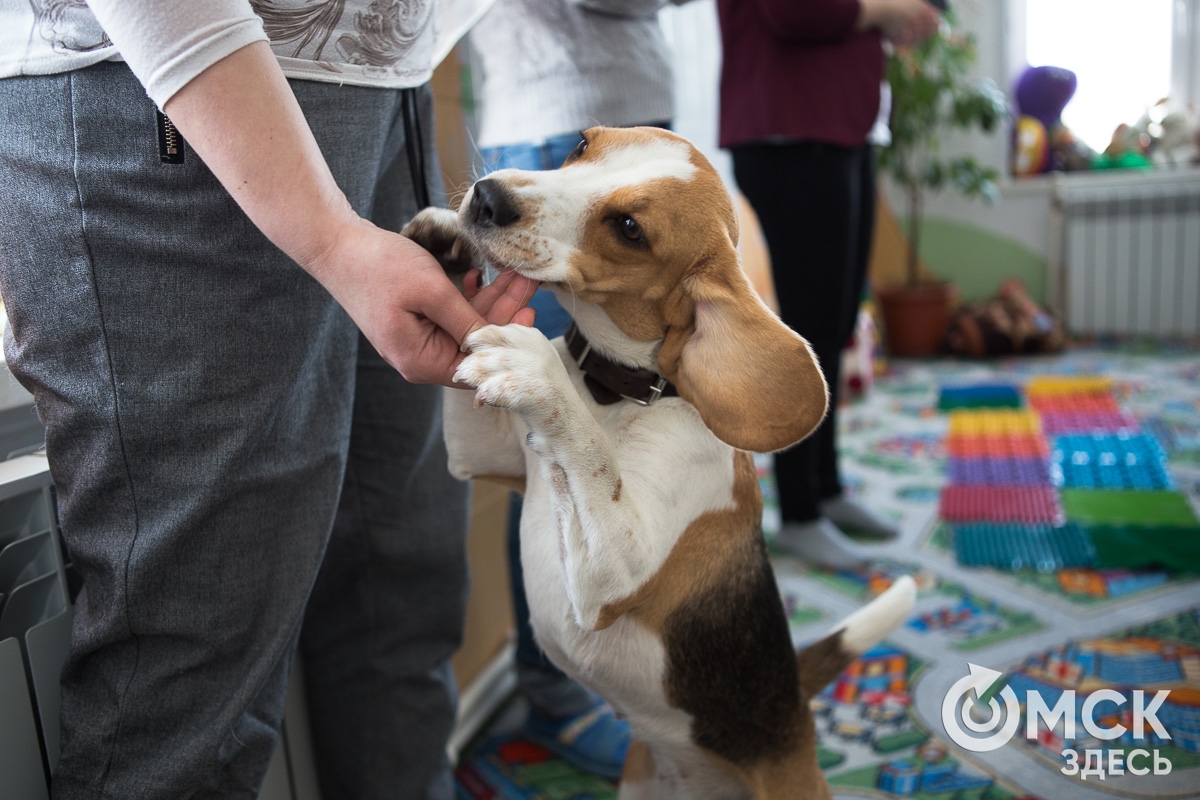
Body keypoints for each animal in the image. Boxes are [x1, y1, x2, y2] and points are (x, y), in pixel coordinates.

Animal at [408, 128, 912, 796]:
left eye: (629, 229)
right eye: (581, 144)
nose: (488, 198)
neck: (612, 394)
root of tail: (797, 712)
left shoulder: (610, 575)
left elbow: (587, 452)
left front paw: (536, 369)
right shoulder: (478, 457)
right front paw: (442, 249)